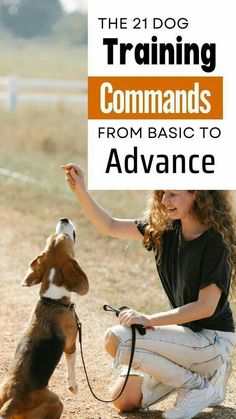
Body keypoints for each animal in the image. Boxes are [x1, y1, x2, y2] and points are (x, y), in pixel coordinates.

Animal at [0, 220, 88, 419]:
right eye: (64, 237)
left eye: (52, 238)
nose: (64, 219)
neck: (52, 300)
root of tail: (11, 402)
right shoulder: (71, 345)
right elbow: (71, 365)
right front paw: (73, 386)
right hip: (57, 402)